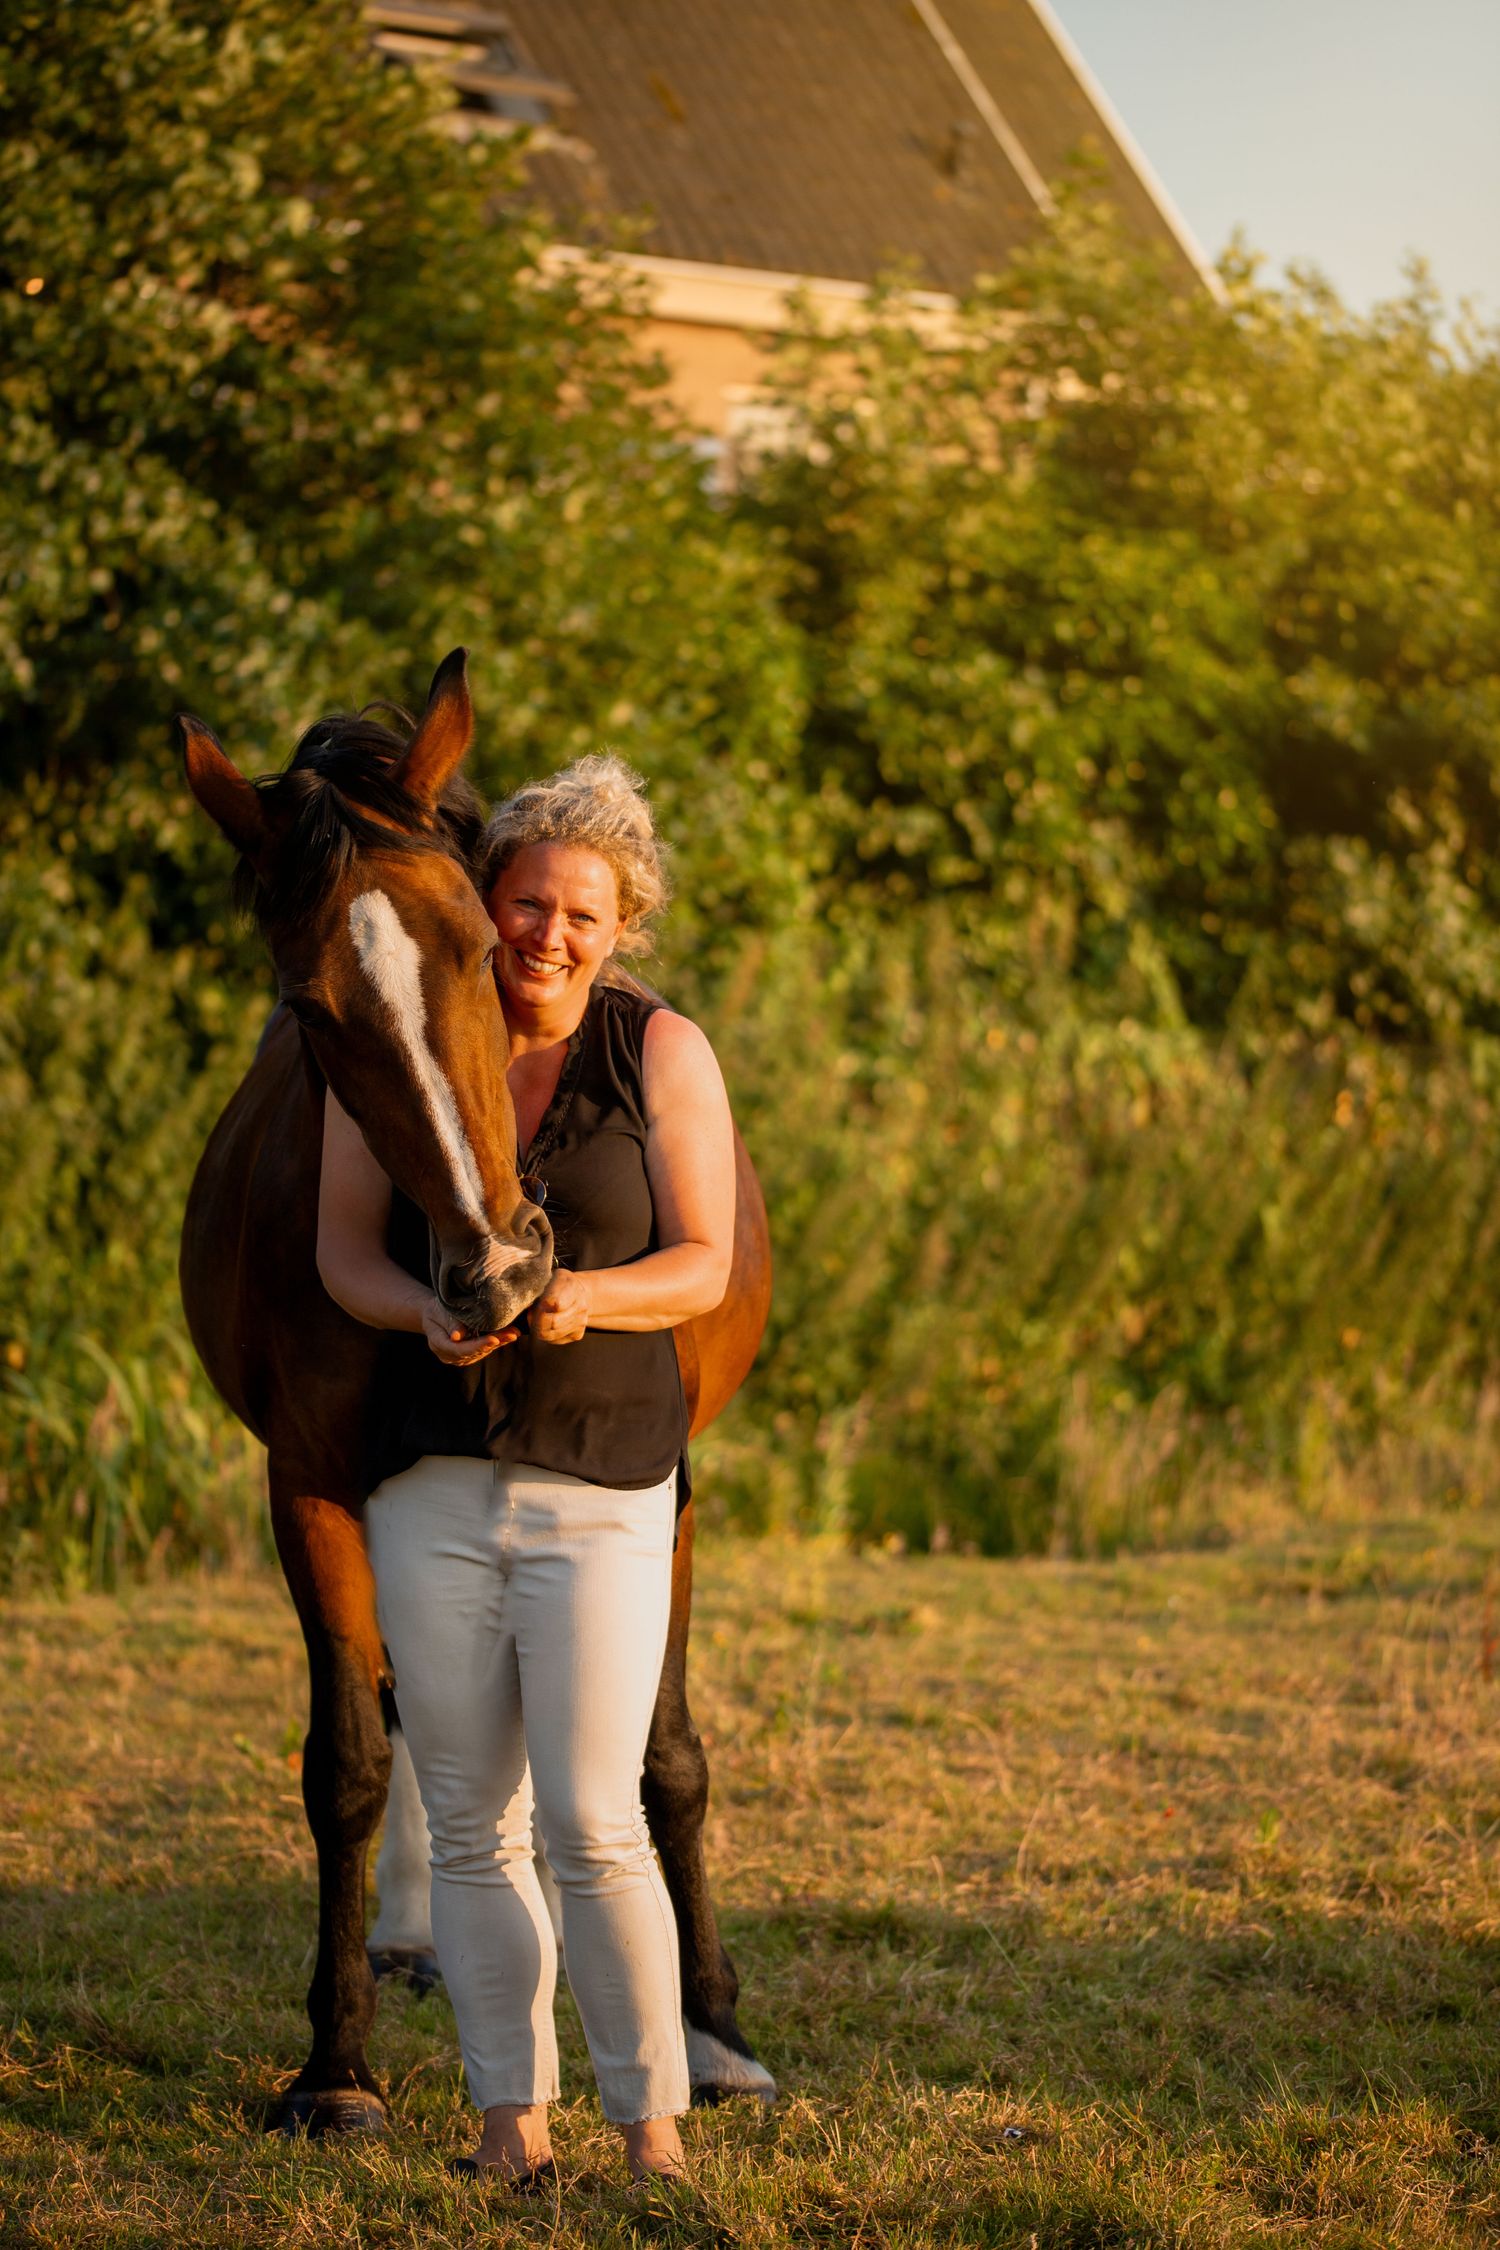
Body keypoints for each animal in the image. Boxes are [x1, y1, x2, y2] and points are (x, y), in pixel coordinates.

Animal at [178, 648, 773, 2124]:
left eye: (478, 942)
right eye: (312, 1008)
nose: (498, 1271)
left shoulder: (670, 1489)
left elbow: (666, 1753)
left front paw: (713, 2026)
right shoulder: (311, 1484)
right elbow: (347, 1758)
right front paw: (335, 2069)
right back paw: (418, 1937)